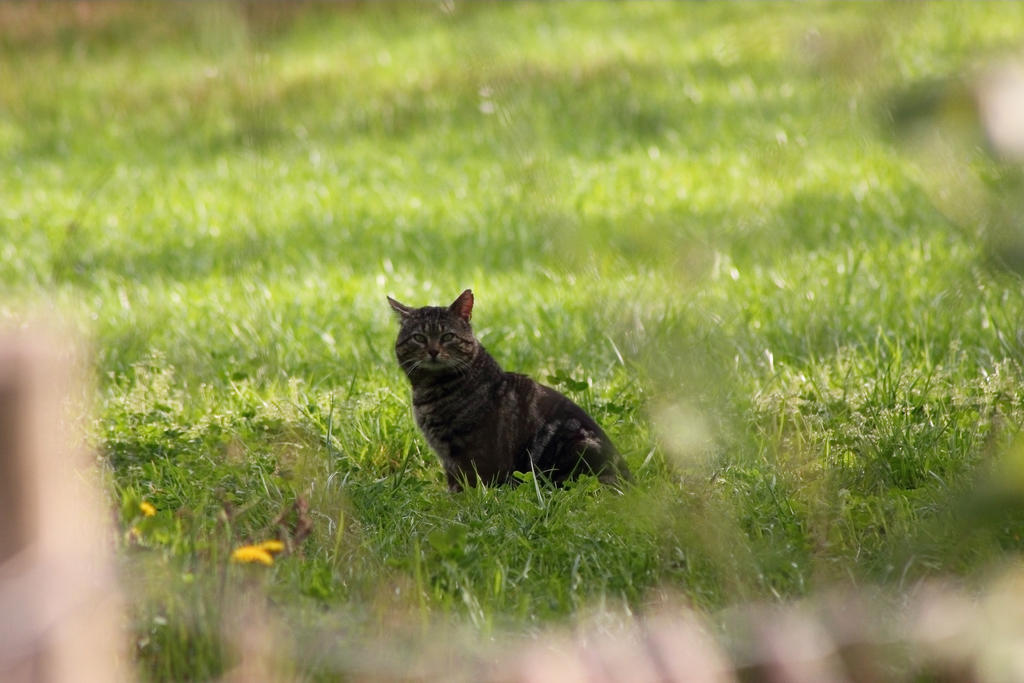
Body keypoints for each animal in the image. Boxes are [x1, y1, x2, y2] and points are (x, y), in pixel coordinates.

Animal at [385, 288, 630, 491]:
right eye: (419, 338)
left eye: (448, 336)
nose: (433, 351)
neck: (430, 390)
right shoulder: (450, 461)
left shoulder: (478, 454)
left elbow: (472, 488)